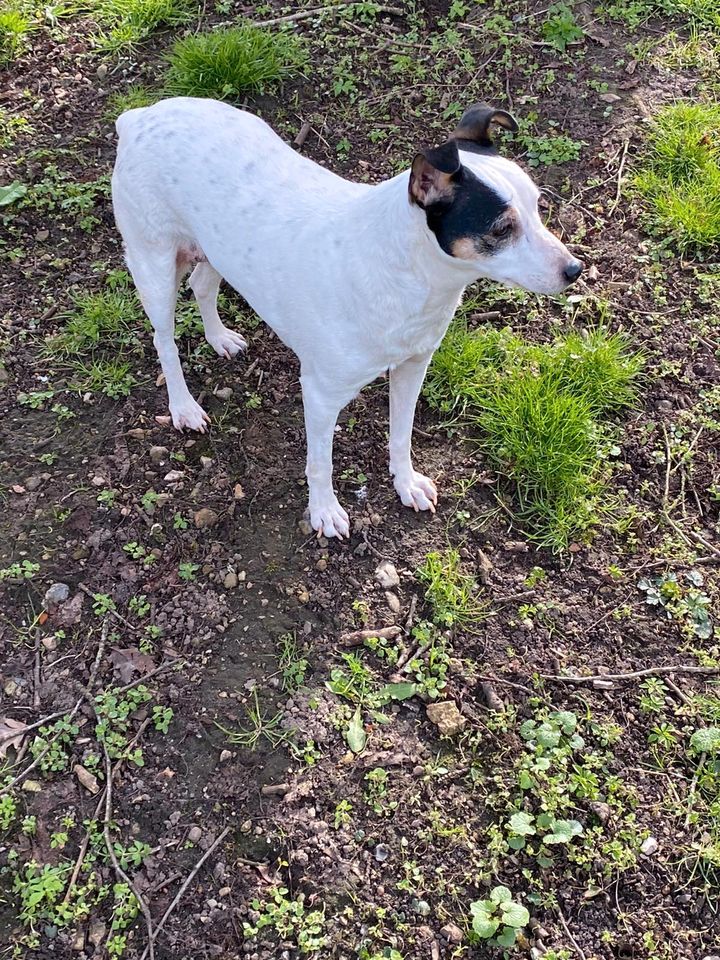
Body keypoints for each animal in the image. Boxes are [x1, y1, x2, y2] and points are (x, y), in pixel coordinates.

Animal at [114, 102, 584, 544]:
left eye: (538, 206)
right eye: (502, 228)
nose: (575, 270)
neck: (404, 272)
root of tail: (139, 116)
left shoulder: (413, 367)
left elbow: (401, 434)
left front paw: (405, 482)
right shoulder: (321, 394)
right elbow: (320, 463)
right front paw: (324, 511)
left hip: (214, 249)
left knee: (202, 284)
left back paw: (219, 338)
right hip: (154, 266)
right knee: (164, 340)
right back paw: (183, 407)